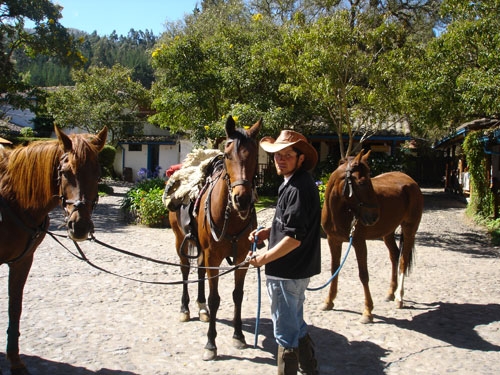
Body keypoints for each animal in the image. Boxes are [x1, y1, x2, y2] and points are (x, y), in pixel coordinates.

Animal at [0, 127, 107, 375]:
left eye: (97, 174)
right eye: (66, 173)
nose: (79, 226)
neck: (13, 199)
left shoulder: (22, 261)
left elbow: (15, 307)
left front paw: (15, 361)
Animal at [169, 117, 262, 362]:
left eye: (255, 155)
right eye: (228, 155)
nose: (242, 199)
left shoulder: (242, 259)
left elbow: (237, 295)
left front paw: (238, 336)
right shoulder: (213, 258)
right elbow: (215, 298)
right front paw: (211, 344)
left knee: (200, 271)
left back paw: (202, 309)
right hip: (180, 239)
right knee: (185, 270)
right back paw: (186, 309)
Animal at [320, 150, 422, 324]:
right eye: (361, 183)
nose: (374, 216)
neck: (339, 211)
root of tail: (411, 181)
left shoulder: (359, 242)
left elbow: (364, 275)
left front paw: (367, 311)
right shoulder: (333, 241)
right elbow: (334, 270)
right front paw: (329, 301)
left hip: (409, 230)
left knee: (402, 260)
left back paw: (399, 298)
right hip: (388, 232)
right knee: (394, 256)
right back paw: (391, 293)